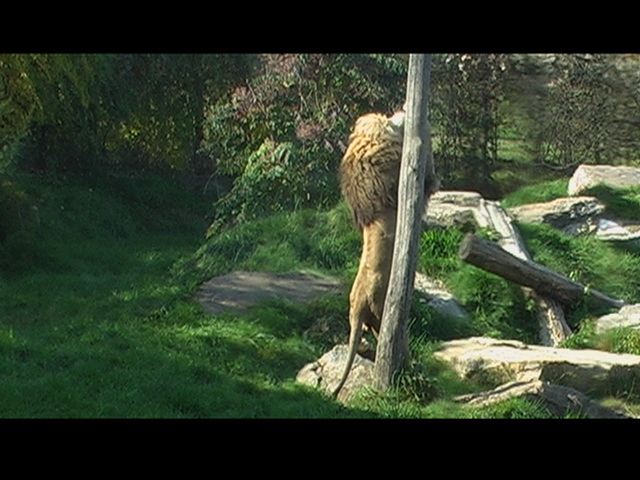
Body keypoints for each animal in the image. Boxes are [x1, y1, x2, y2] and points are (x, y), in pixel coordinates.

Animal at [336, 109, 436, 398]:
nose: (401, 111)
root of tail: (358, 306)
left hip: (367, 319)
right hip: (383, 312)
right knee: (394, 340)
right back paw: (409, 367)